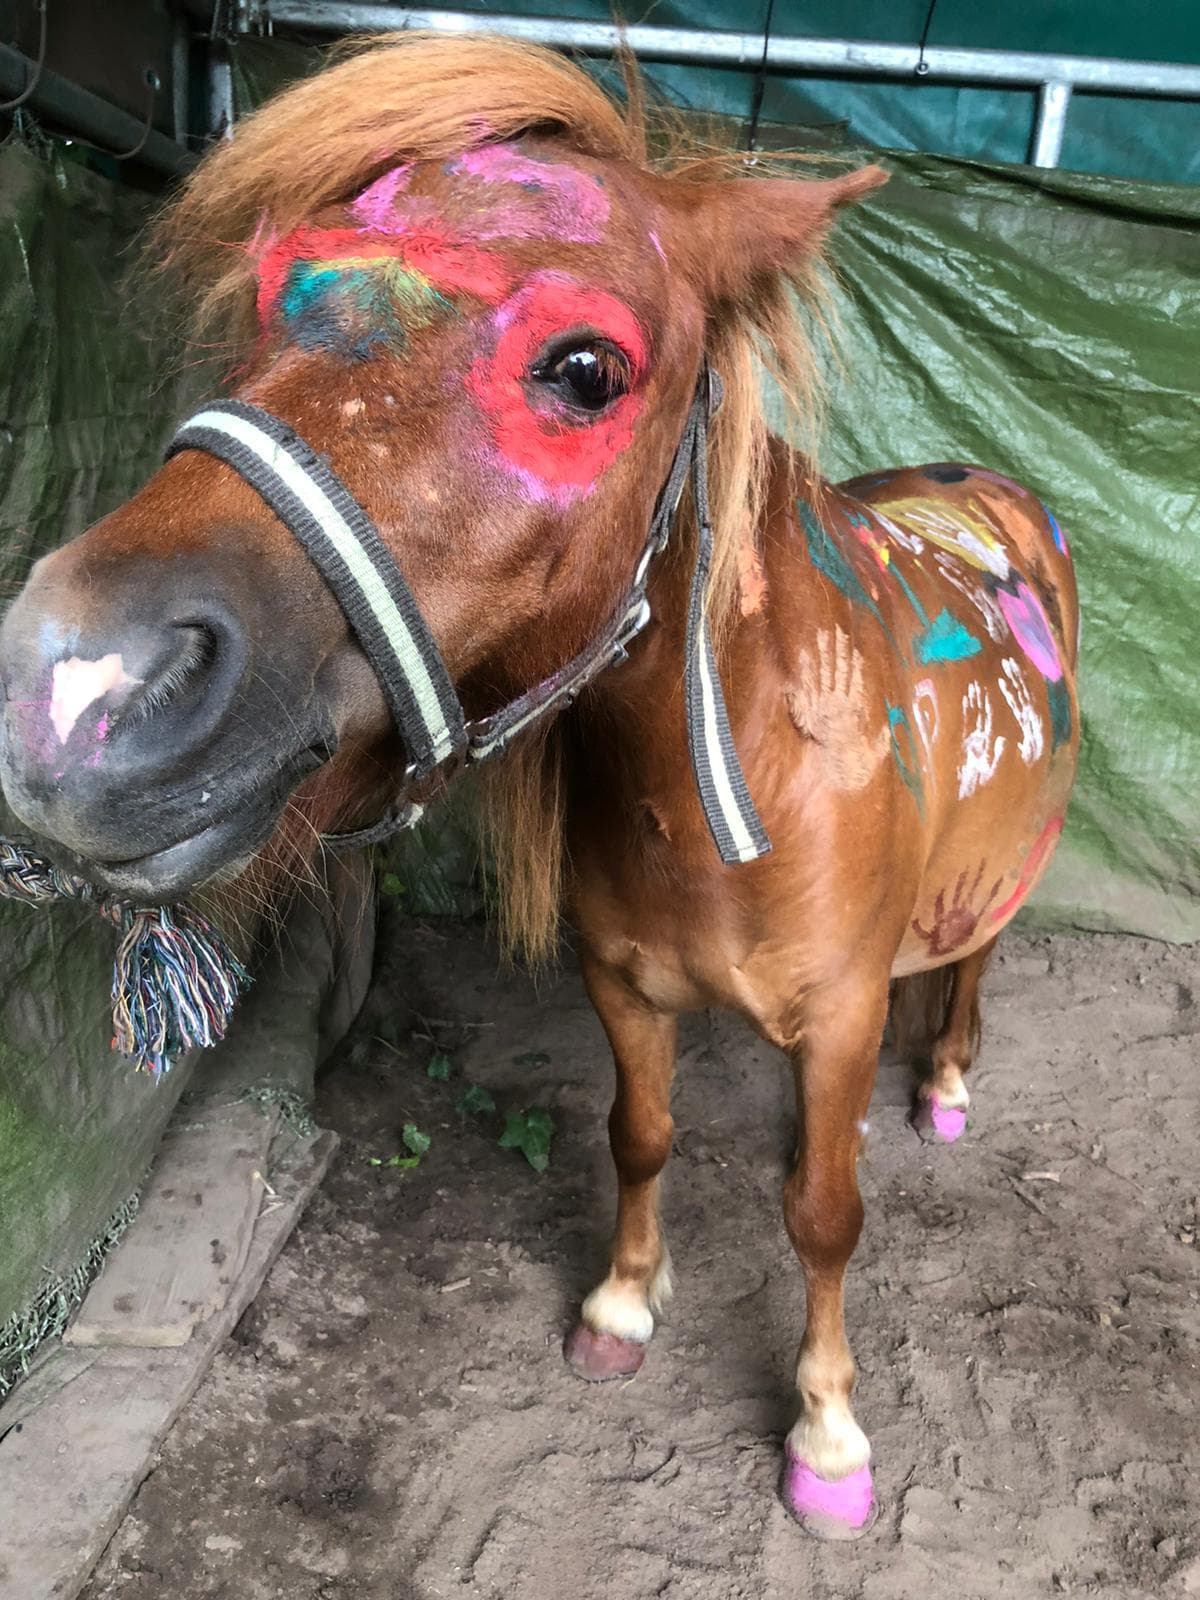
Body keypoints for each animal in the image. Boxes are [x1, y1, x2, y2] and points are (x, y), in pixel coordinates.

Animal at [0, 35, 1078, 1538]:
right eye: (271, 302)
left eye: (583, 368)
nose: (71, 683)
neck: (733, 785)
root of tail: (984, 484)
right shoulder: (621, 984)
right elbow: (642, 1134)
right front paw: (623, 1305)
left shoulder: (847, 1015)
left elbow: (824, 1214)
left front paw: (828, 1434)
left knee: (973, 963)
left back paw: (951, 1084)